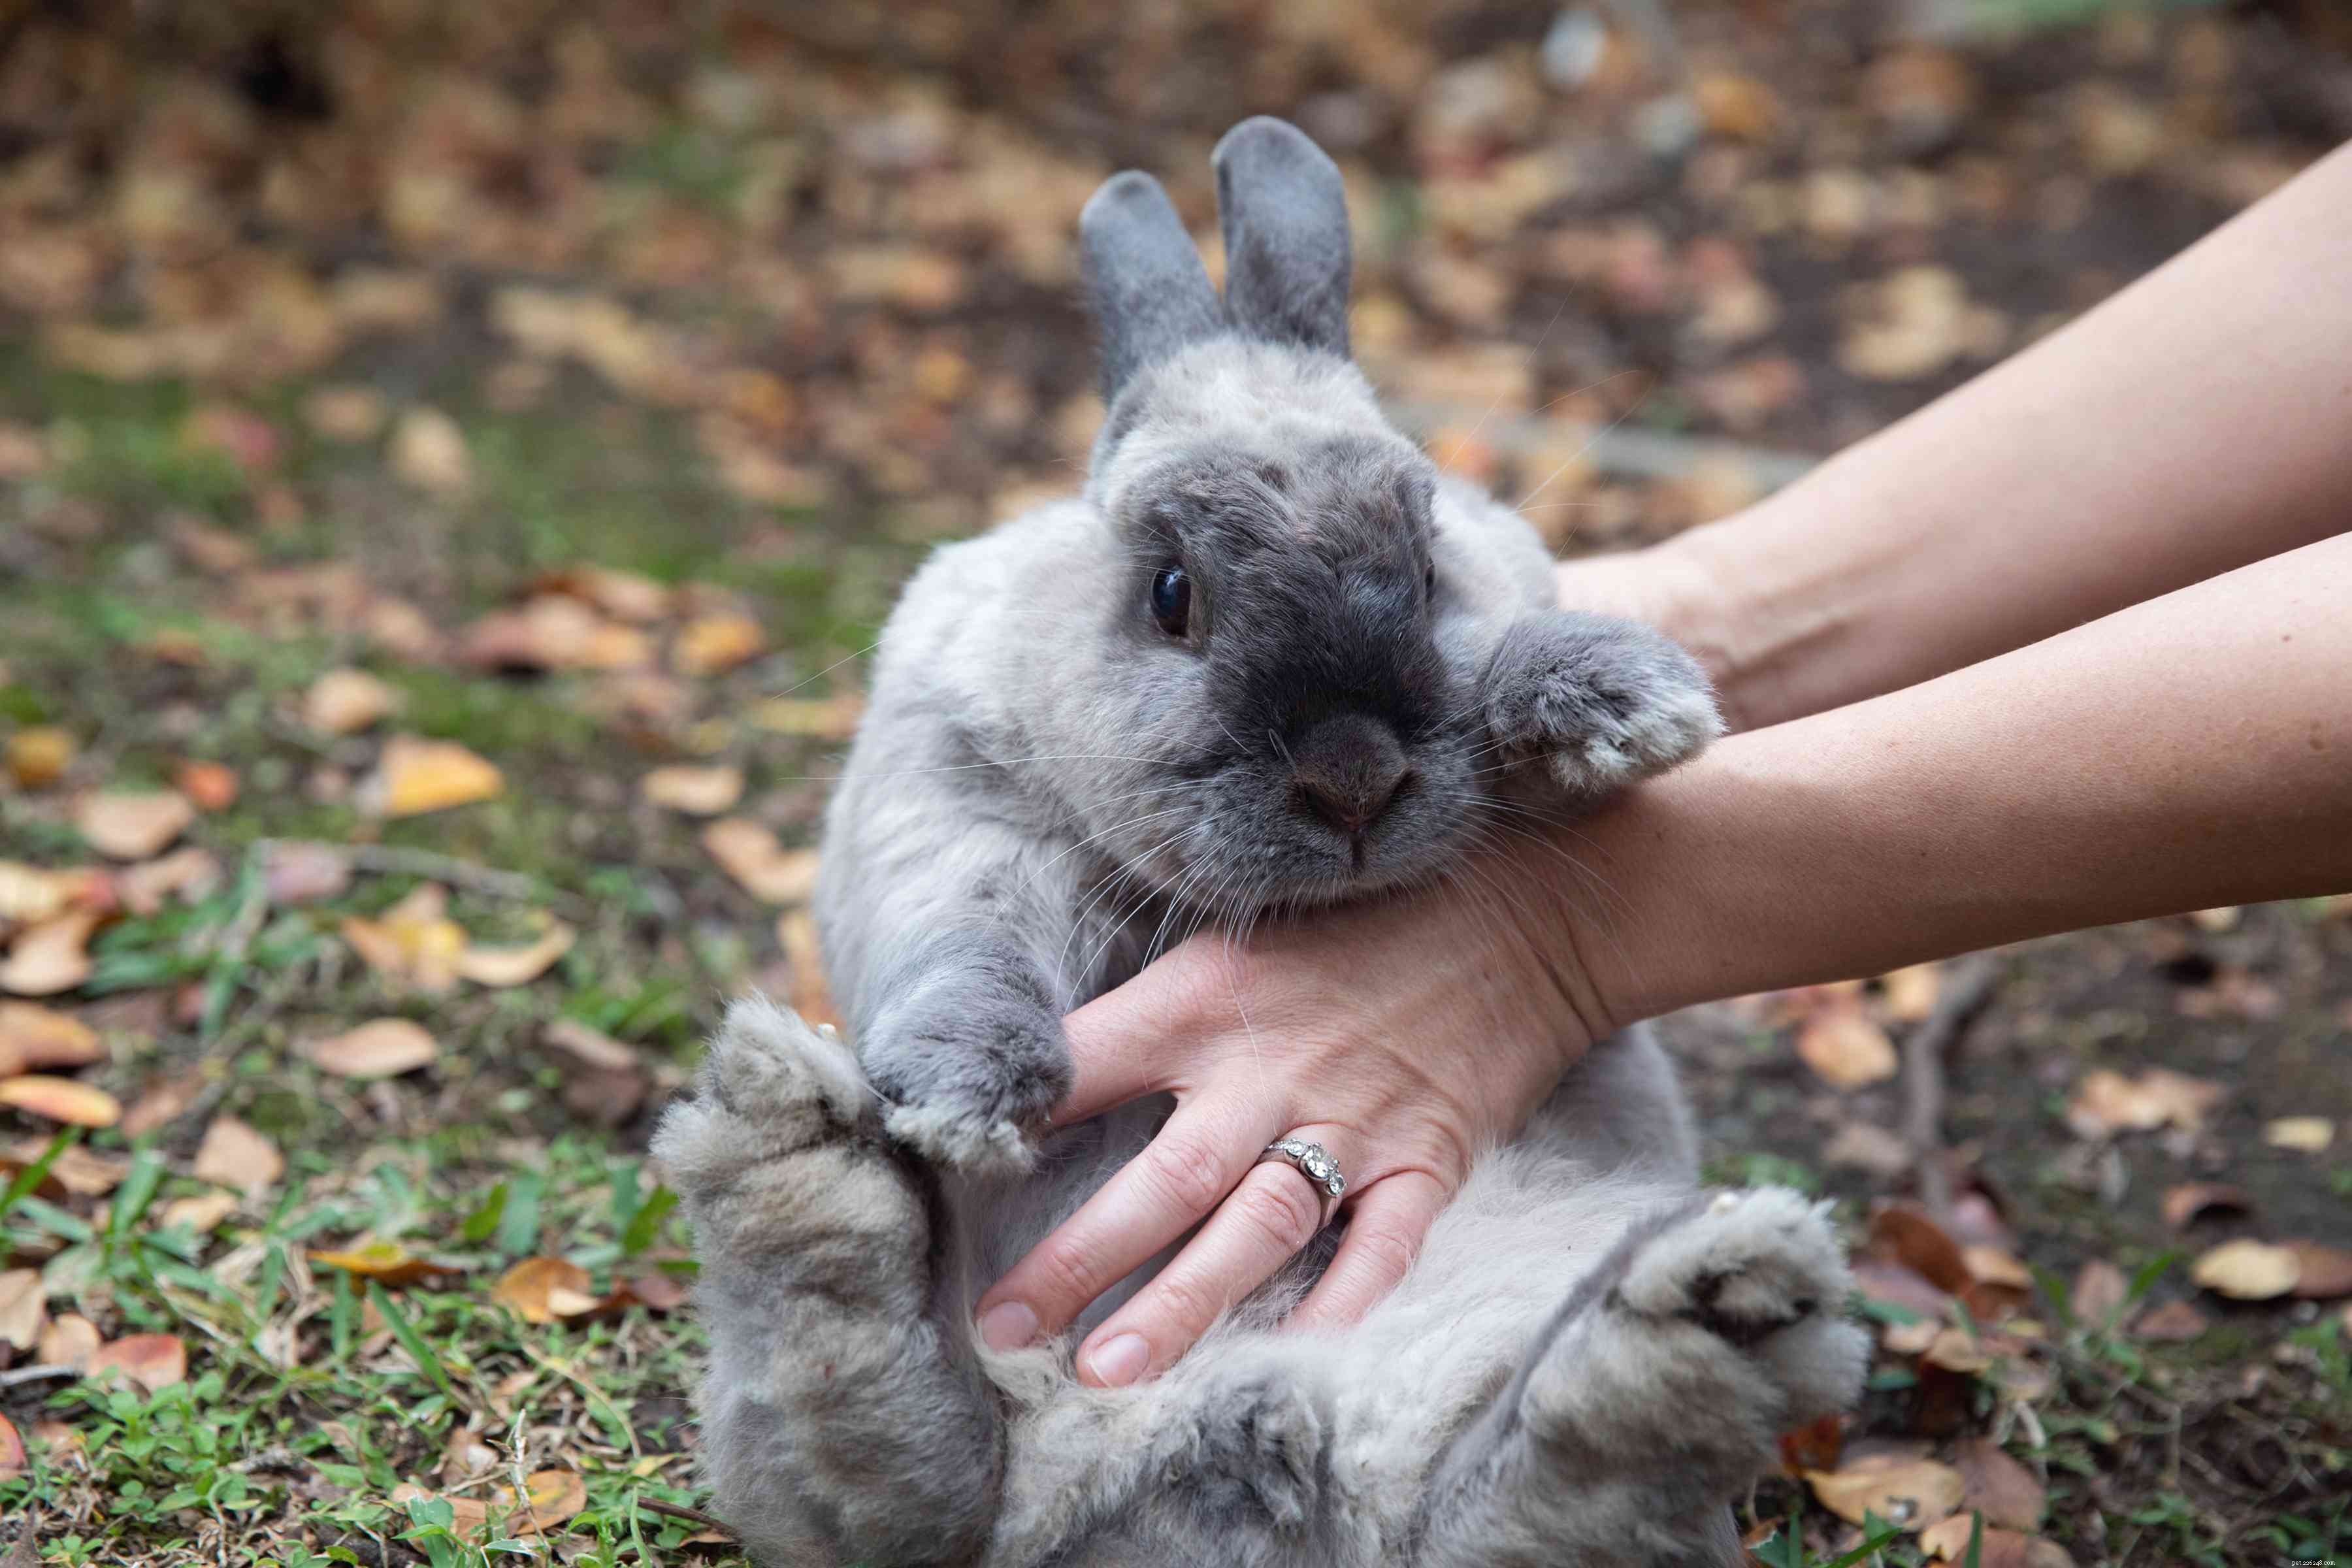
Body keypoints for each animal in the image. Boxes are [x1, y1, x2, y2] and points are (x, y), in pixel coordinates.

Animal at [653, 117, 1867, 1567]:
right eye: (1171, 594)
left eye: (1427, 566)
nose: (1353, 777)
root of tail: (1209, 1446)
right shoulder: (944, 806)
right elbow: (966, 944)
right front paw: (968, 1094)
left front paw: (1617, 696)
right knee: (896, 1482)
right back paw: (804, 1161)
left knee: (1514, 1506)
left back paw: (1713, 1305)